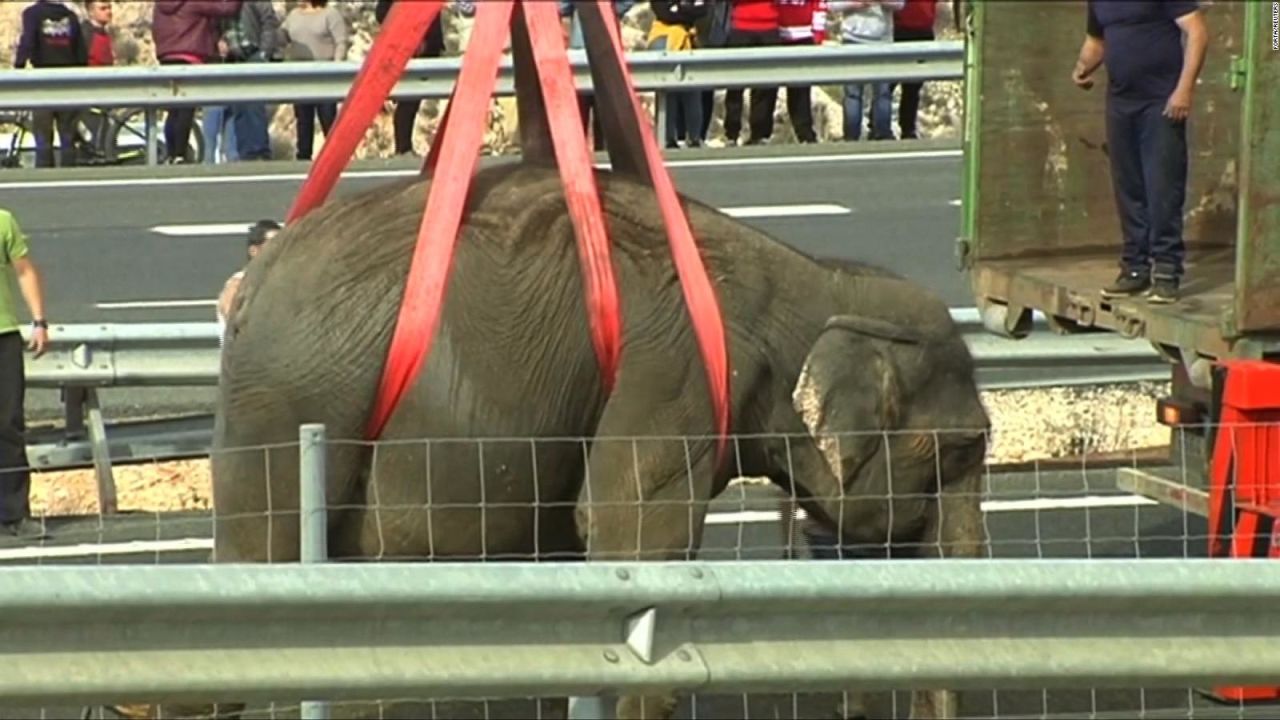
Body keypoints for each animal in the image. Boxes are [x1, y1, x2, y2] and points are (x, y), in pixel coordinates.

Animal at [194, 159, 993, 717]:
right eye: (962, 447)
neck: (817, 279)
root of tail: (250, 281)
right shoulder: (673, 378)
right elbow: (637, 546)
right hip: (293, 396)